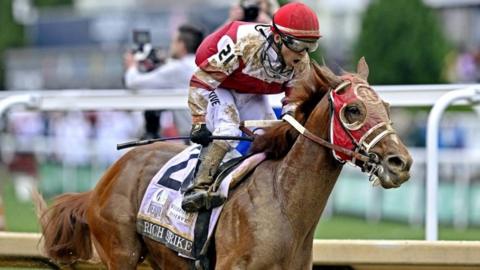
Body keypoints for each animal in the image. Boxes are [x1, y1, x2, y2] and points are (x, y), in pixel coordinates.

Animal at [34, 58, 412, 268]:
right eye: (354, 110)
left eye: (386, 107)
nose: (401, 162)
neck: (284, 206)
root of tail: (102, 181)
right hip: (120, 253)